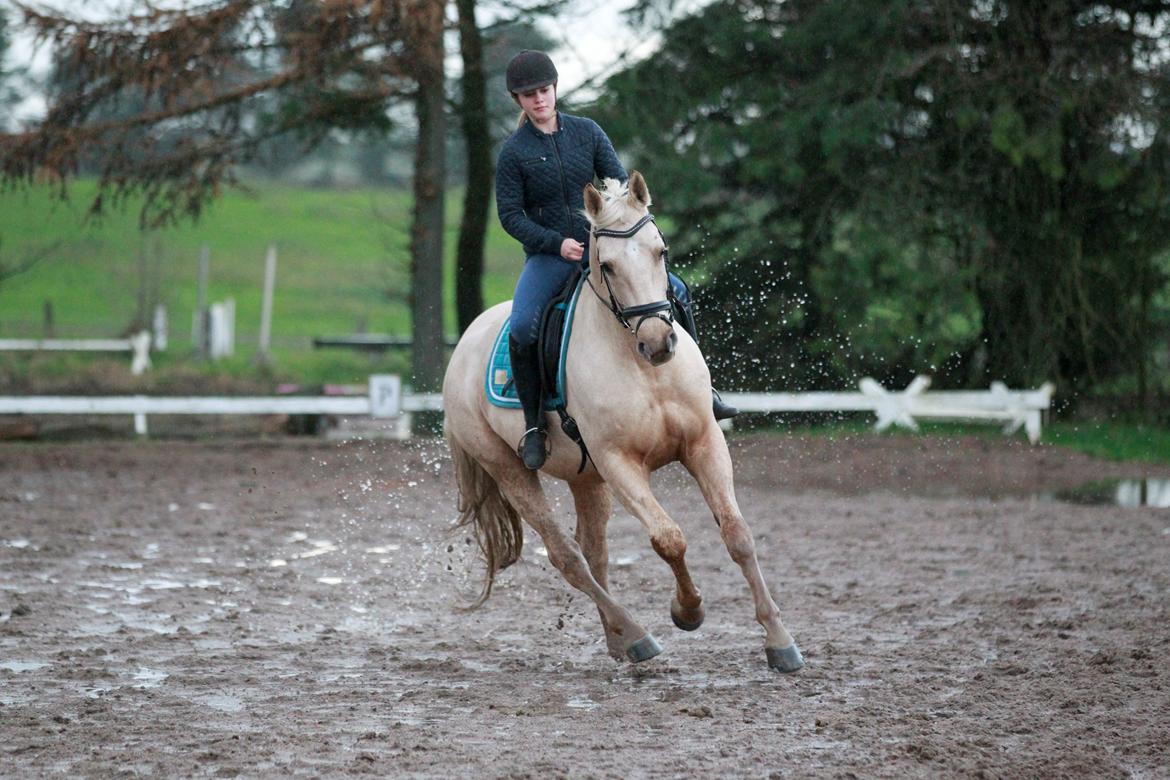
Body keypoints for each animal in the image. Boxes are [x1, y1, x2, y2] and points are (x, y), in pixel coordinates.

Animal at [439, 174, 804, 673]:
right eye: (607, 266)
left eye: (661, 251)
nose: (659, 341)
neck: (643, 369)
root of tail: (464, 344)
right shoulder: (620, 463)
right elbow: (669, 539)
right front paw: (687, 611)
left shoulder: (704, 443)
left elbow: (738, 535)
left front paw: (779, 640)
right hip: (509, 469)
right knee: (568, 557)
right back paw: (636, 635)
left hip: (587, 479)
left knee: (594, 553)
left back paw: (618, 641)